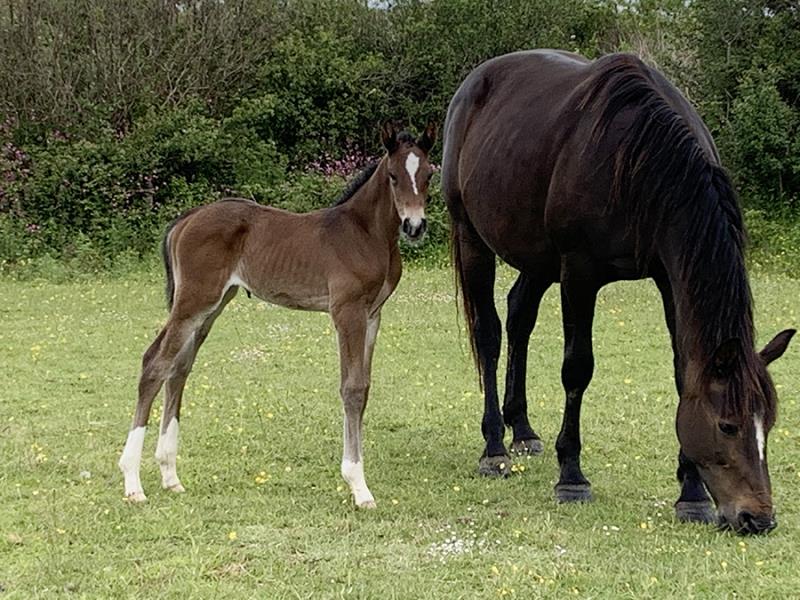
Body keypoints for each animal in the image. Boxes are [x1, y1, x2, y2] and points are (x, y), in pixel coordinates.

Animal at [117, 124, 438, 508]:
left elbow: (364, 387)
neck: (365, 233)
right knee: (155, 364)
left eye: (428, 174)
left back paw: (170, 476)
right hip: (194, 301)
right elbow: (351, 389)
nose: (414, 226)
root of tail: (187, 218)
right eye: (392, 176)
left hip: (212, 305)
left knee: (179, 368)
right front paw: (358, 486)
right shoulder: (347, 311)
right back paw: (133, 483)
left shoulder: (373, 314)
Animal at [444, 51, 792, 536]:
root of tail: (477, 80)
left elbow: (683, 372)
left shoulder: (669, 277)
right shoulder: (578, 273)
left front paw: (691, 494)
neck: (641, 162)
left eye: (769, 424)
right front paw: (571, 476)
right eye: (727, 426)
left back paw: (523, 430)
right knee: (489, 334)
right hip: (472, 237)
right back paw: (494, 447)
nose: (757, 518)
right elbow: (577, 369)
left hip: (537, 258)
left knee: (519, 317)